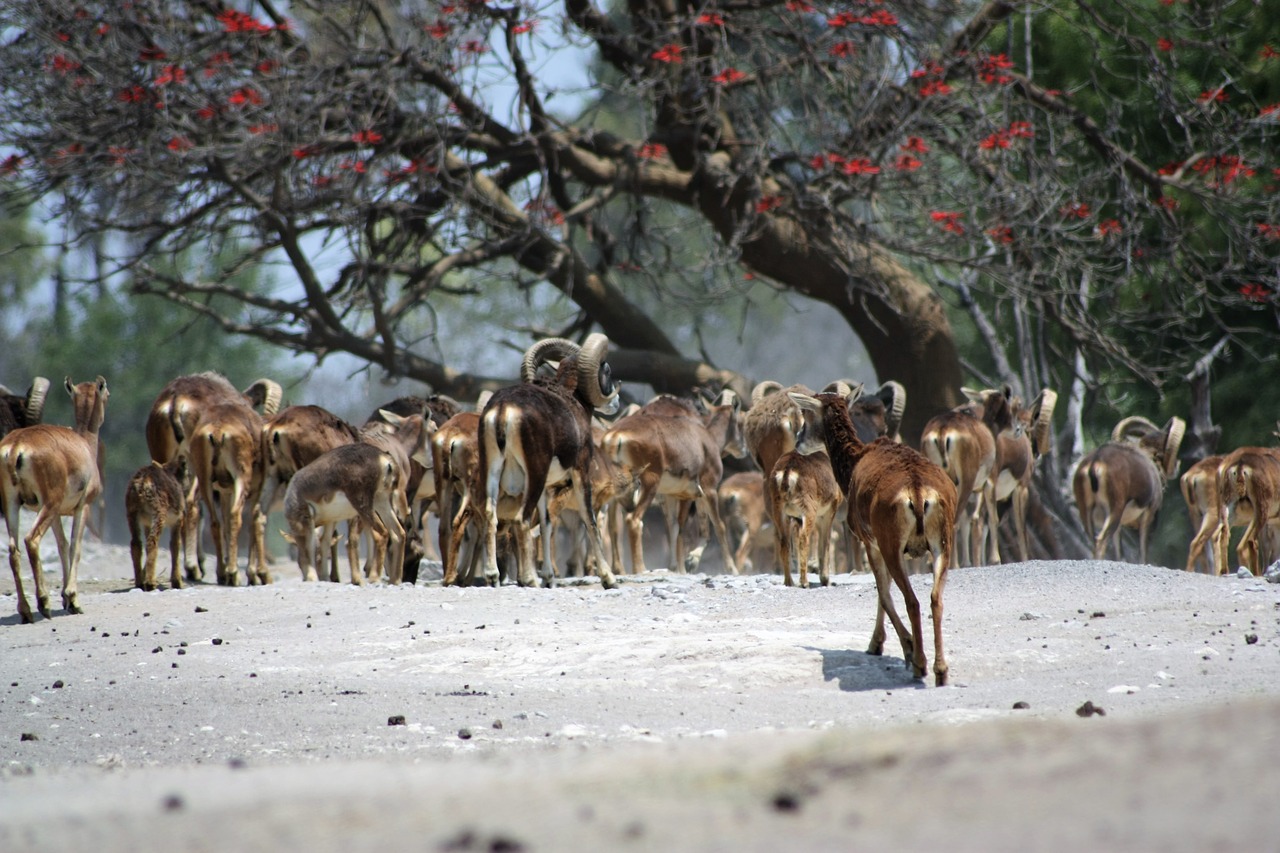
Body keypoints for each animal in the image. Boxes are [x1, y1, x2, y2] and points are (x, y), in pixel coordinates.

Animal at [0, 376, 108, 622]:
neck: (85, 445)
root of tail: (16, 448)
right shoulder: (82, 507)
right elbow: (75, 546)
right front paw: (73, 600)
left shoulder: (58, 514)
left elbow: (62, 545)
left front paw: (66, 599)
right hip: (47, 505)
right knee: (31, 540)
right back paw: (43, 603)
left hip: (12, 504)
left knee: (13, 550)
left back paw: (26, 610)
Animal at [123, 455, 193, 589]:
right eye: (187, 474)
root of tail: (141, 484)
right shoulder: (178, 519)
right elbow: (175, 545)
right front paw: (177, 582)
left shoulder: (146, 522)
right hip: (159, 513)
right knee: (152, 541)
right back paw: (150, 583)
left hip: (131, 512)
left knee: (136, 543)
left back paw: (139, 582)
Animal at [478, 335, 622, 589]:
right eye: (606, 370)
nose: (616, 401)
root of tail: (504, 409)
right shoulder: (580, 471)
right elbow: (589, 520)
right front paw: (609, 579)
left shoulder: (547, 488)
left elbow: (546, 524)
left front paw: (549, 578)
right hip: (534, 475)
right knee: (522, 519)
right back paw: (529, 579)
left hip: (493, 472)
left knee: (490, 515)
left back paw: (493, 576)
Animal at [788, 386, 962, 686]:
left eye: (807, 414)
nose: (798, 440)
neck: (853, 465)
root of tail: (919, 493)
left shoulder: (869, 540)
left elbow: (882, 593)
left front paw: (882, 645)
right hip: (943, 543)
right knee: (935, 598)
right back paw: (941, 670)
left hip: (892, 543)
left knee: (912, 600)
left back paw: (919, 662)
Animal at [1064, 412, 1182, 560]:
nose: (1177, 465)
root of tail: (1095, 463)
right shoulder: (1148, 516)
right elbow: (1142, 554)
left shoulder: (1120, 526)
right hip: (1115, 510)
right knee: (1100, 542)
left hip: (1087, 512)